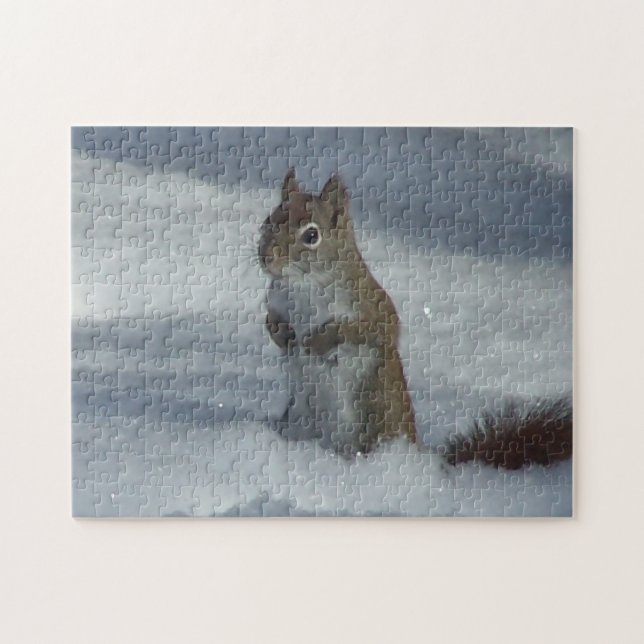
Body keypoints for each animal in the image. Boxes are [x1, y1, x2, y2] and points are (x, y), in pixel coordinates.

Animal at [258, 168, 572, 466]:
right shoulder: (276, 301)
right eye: (268, 220)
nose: (266, 257)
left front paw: (319, 339)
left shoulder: (374, 309)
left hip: (373, 425)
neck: (304, 286)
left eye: (312, 236)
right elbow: (269, 320)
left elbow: (363, 330)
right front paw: (283, 333)